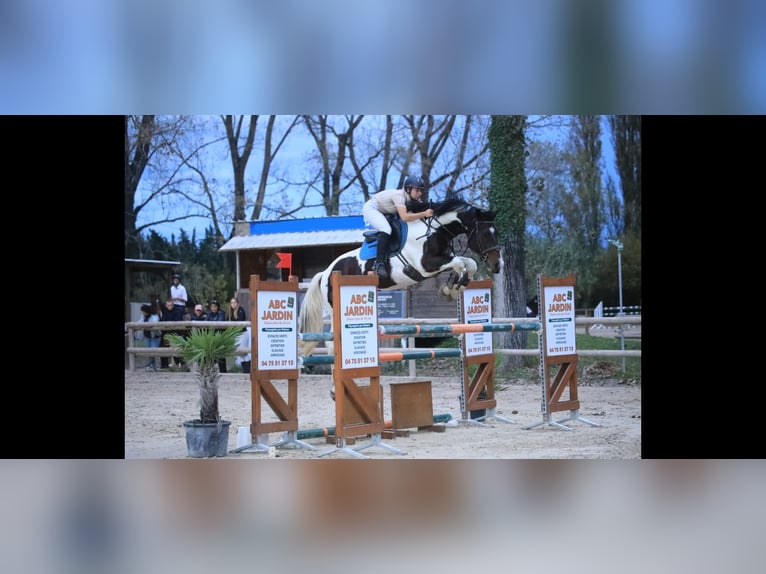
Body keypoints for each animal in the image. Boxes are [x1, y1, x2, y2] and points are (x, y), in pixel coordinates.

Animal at [298, 200, 504, 358]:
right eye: (486, 233)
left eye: (496, 232)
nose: (497, 265)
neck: (435, 231)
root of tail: (326, 272)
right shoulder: (426, 266)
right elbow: (460, 263)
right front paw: (451, 289)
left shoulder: (442, 261)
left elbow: (469, 264)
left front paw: (453, 288)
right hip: (334, 309)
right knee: (332, 343)